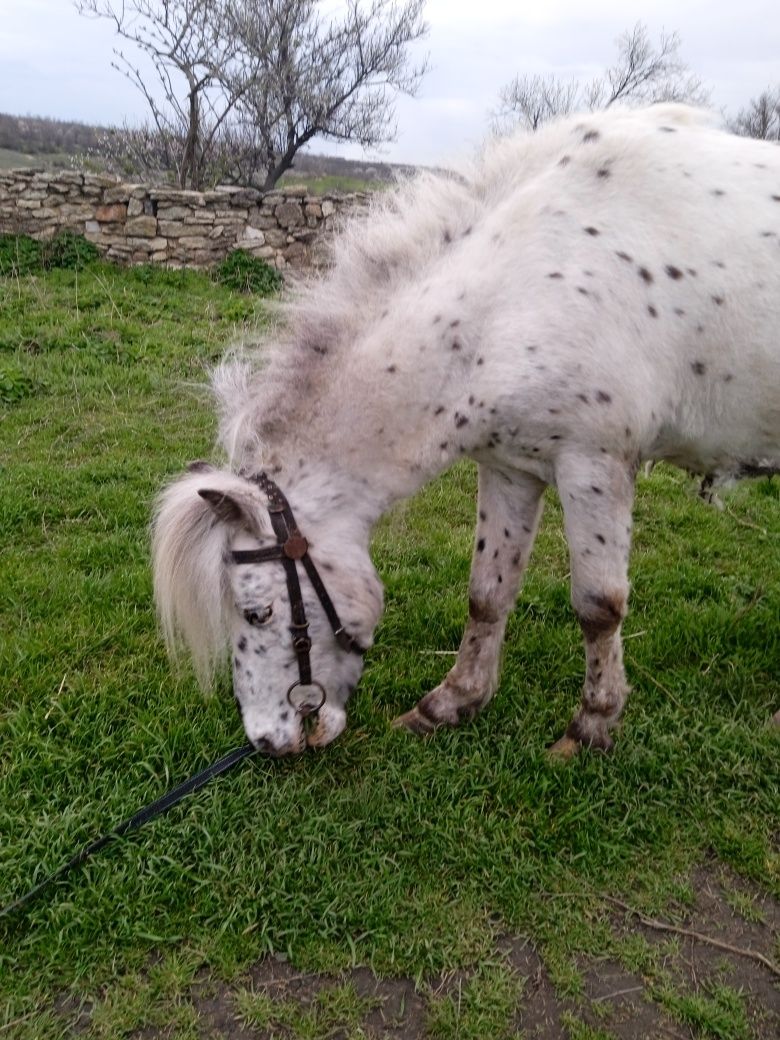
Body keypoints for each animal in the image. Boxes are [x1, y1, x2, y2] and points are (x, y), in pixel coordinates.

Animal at [152, 105, 780, 757]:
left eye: (257, 613)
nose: (268, 741)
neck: (516, 295)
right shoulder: (511, 468)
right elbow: (487, 594)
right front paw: (450, 704)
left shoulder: (594, 466)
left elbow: (598, 606)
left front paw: (591, 726)